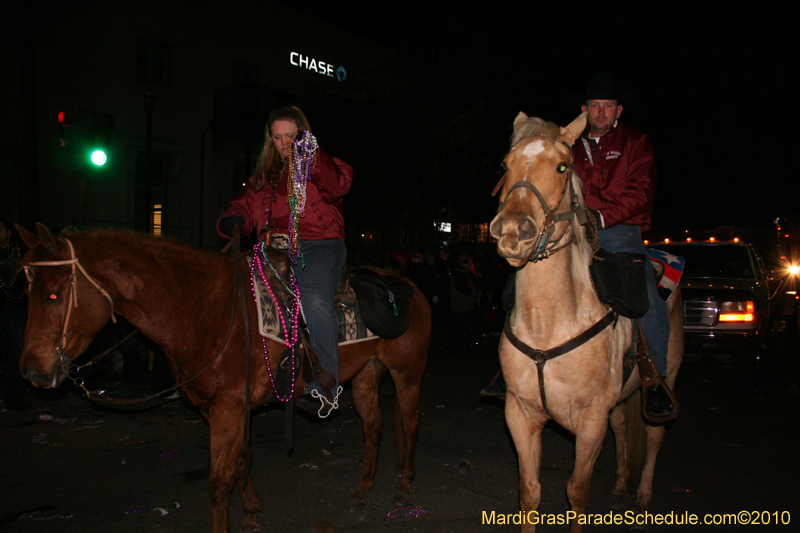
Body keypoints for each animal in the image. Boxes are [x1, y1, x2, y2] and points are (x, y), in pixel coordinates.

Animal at [17, 224, 432, 532]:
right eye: (26, 291)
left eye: (53, 295)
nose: (33, 370)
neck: (200, 308)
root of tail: (411, 286)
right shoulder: (221, 408)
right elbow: (237, 466)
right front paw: (251, 512)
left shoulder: (228, 408)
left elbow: (218, 483)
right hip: (366, 374)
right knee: (374, 428)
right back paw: (362, 491)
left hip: (408, 373)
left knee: (410, 423)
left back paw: (406, 487)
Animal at [488, 113, 680, 532]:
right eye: (505, 165)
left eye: (563, 166)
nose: (511, 230)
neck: (548, 324)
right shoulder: (520, 414)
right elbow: (529, 492)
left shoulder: (590, 421)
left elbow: (577, 492)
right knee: (623, 427)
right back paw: (622, 485)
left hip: (666, 379)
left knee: (655, 437)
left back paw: (643, 493)